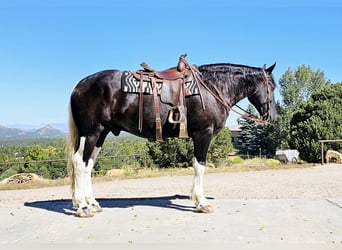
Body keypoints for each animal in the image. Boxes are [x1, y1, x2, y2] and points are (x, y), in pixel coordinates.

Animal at [67, 57, 278, 217]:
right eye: (272, 86)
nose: (273, 117)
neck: (211, 88)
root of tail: (79, 86)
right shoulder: (203, 133)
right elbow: (200, 166)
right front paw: (201, 203)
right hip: (91, 132)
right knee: (79, 162)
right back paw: (83, 206)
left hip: (101, 133)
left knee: (88, 165)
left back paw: (92, 203)